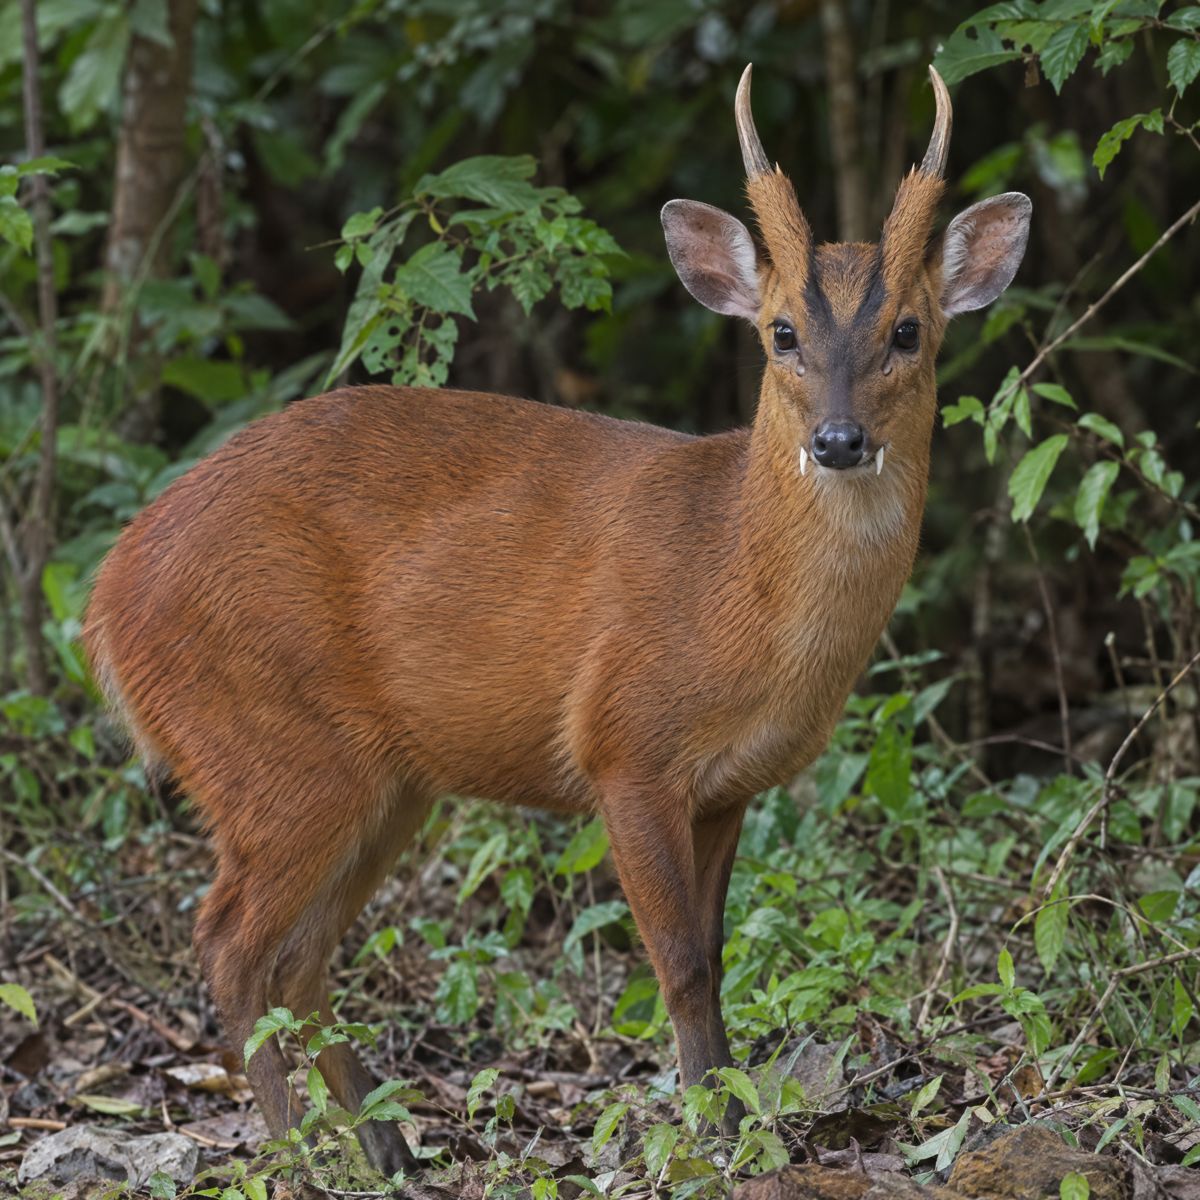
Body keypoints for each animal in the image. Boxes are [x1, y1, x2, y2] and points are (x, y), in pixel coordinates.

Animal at [83, 64, 1030, 1175]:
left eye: (908, 332)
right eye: (783, 333)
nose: (839, 440)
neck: (734, 580)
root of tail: (106, 602)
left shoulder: (728, 787)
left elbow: (716, 952)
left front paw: (737, 1115)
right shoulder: (625, 745)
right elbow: (678, 962)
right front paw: (712, 1131)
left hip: (378, 784)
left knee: (297, 953)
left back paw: (384, 1146)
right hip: (269, 747)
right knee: (230, 943)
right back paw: (301, 1156)